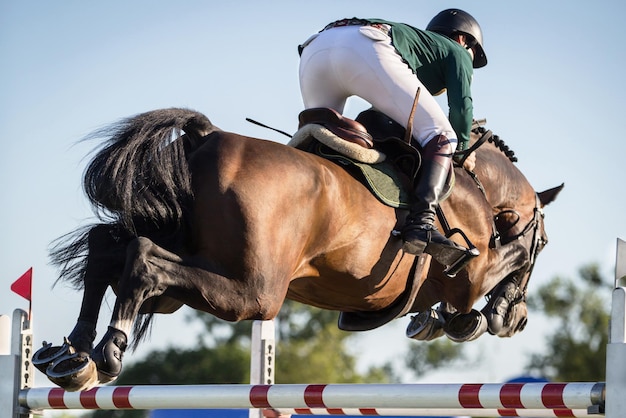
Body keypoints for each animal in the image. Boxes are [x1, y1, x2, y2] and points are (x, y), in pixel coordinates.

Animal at [31, 108, 564, 392]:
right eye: (545, 243)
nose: (517, 320)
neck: (475, 184)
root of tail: (205, 136)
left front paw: (434, 320)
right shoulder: (469, 274)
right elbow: (501, 263)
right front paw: (472, 319)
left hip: (181, 283)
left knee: (109, 251)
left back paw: (72, 354)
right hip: (253, 293)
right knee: (141, 261)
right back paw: (108, 350)